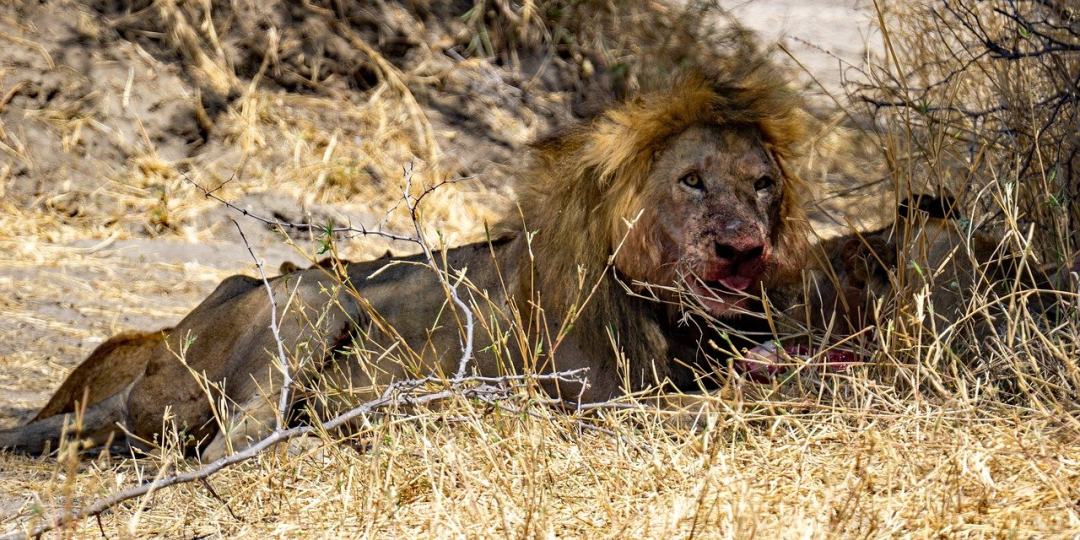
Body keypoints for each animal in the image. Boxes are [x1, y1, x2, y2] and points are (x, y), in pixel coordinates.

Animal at [2, 62, 812, 460]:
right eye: (692, 181)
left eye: (762, 184)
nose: (744, 248)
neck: (674, 320)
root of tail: (162, 343)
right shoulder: (592, 400)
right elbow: (716, 404)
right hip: (312, 295)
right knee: (221, 450)